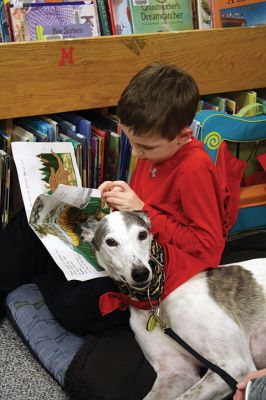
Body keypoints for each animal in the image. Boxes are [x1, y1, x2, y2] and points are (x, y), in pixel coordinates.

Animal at [80, 211, 266, 398]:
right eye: (110, 242)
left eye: (142, 234)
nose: (140, 273)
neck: (156, 300)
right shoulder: (176, 371)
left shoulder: (234, 366)